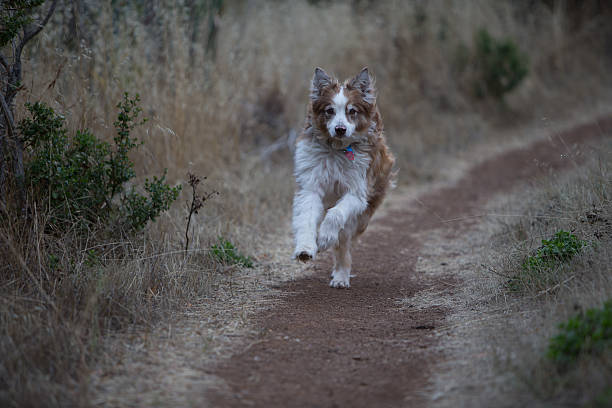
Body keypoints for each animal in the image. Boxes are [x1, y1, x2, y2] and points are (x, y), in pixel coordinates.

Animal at [292, 67, 396, 288]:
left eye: (352, 111)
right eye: (329, 110)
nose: (340, 129)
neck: (336, 150)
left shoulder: (357, 193)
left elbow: (335, 214)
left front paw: (324, 238)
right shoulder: (310, 186)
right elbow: (306, 218)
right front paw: (305, 248)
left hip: (360, 216)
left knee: (344, 244)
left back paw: (340, 276)